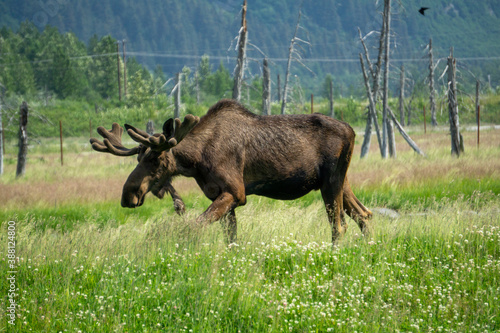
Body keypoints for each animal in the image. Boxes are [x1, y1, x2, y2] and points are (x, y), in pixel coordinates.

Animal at [90, 98, 372, 244]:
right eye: (138, 157)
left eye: (155, 159)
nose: (128, 195)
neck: (196, 161)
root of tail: (352, 130)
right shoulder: (221, 196)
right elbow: (231, 238)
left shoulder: (236, 193)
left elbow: (194, 226)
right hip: (340, 183)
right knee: (364, 215)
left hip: (331, 183)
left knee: (339, 227)